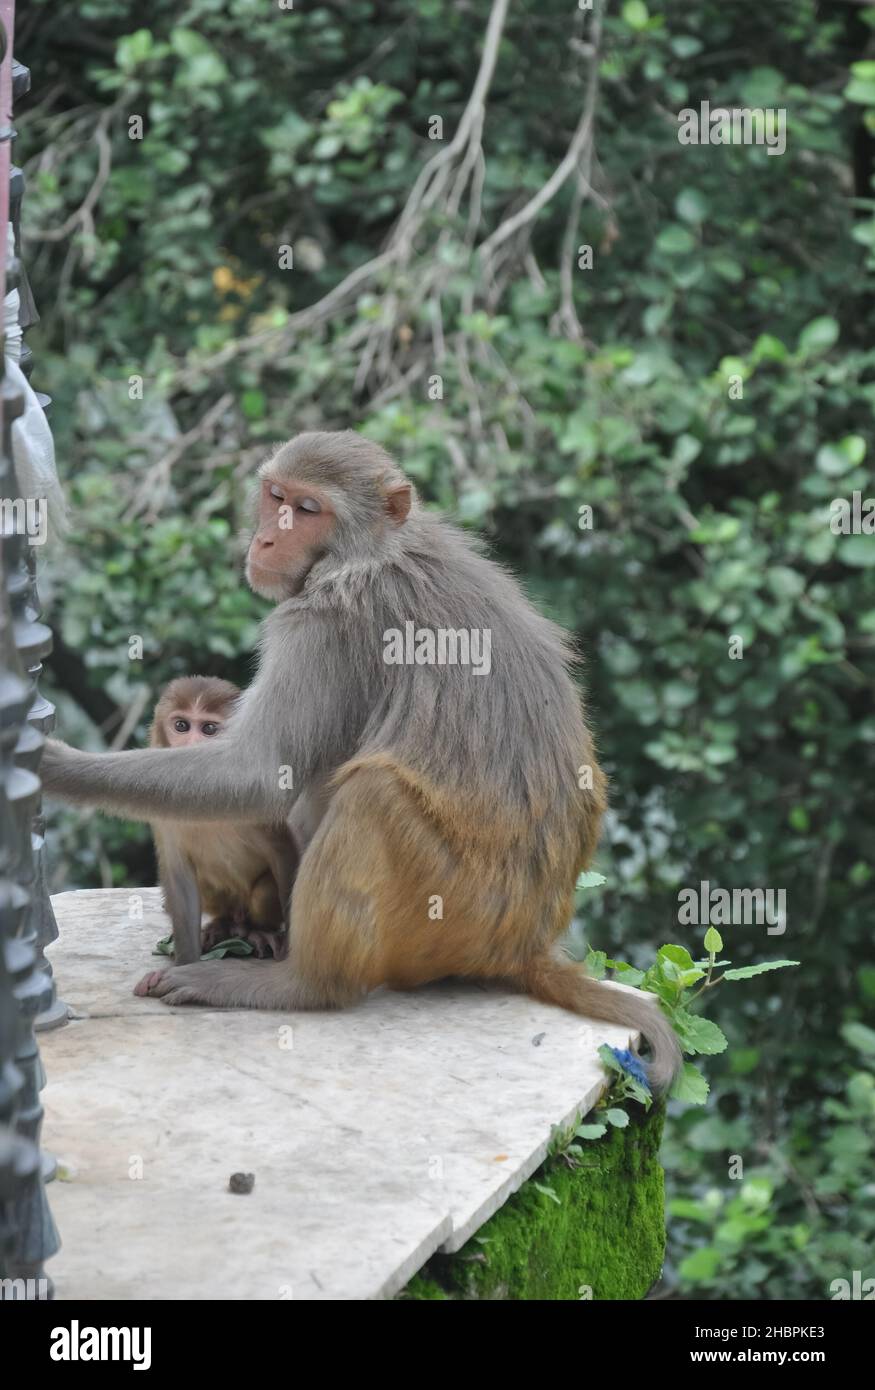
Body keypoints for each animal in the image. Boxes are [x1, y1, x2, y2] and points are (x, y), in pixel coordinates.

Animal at [143, 672, 293, 978]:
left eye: (209, 729)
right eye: (181, 726)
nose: (191, 752)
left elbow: (281, 850)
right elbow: (178, 873)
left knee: (262, 893)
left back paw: (256, 931)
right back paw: (222, 926)